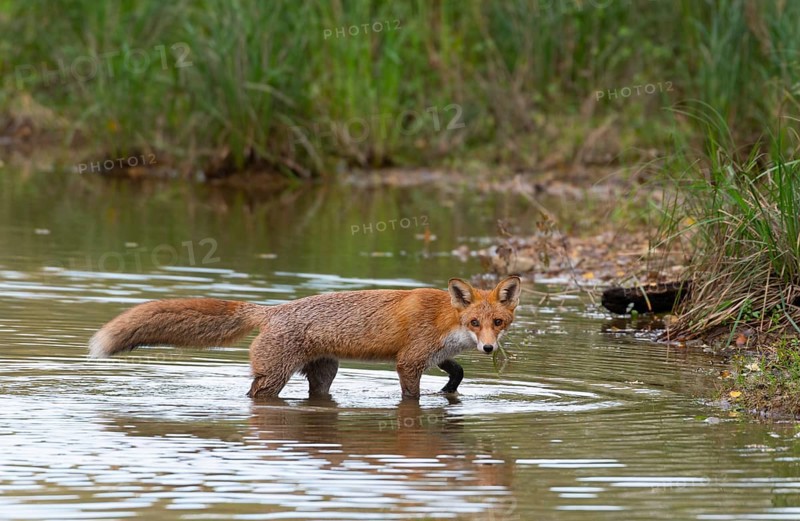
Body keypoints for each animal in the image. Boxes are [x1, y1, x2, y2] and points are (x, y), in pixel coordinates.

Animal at [88, 276, 521, 399]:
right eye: (474, 321)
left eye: (498, 322)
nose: (488, 347)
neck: (446, 319)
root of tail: (271, 310)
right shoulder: (409, 361)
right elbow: (410, 398)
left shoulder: (433, 355)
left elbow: (458, 372)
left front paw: (448, 393)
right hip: (273, 378)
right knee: (255, 395)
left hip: (323, 374)